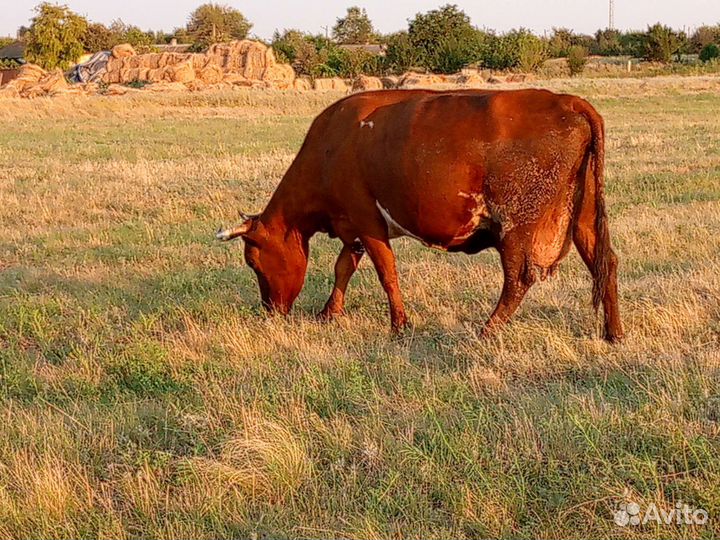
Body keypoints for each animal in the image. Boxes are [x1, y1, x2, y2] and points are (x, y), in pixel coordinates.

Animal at [216, 89, 624, 342]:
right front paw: (329, 313)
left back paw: (487, 330)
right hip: (583, 216)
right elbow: (343, 266)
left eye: (253, 261)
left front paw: (399, 325)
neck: (331, 145)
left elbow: (385, 272)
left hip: (516, 224)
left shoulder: (366, 219)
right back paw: (613, 333)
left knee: (519, 278)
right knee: (605, 262)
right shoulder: (353, 225)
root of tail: (568, 101)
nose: (271, 310)